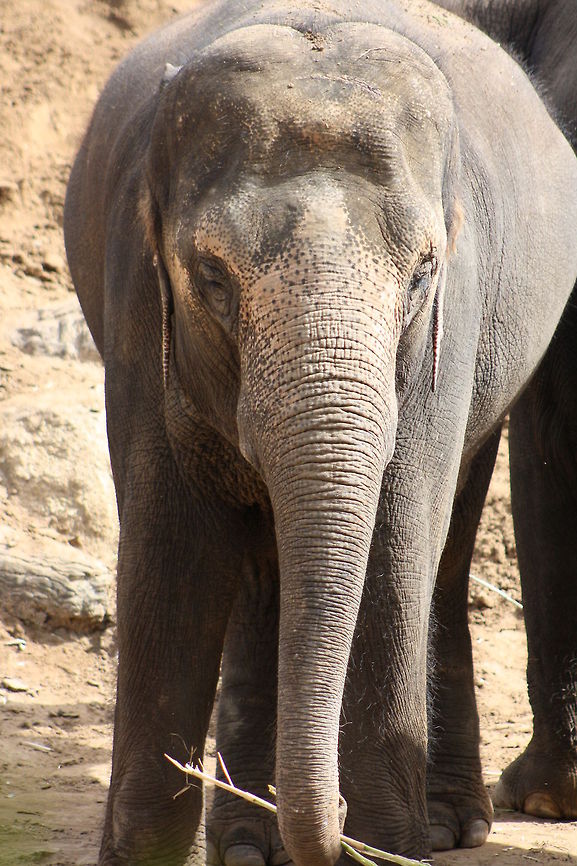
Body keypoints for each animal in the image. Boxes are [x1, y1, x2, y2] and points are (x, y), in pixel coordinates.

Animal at [63, 1, 577, 864]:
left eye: (421, 273)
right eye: (211, 277)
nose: (328, 823)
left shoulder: (448, 331)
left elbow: (395, 545)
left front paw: (384, 844)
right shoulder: (137, 308)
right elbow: (170, 557)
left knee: (443, 546)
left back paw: (445, 824)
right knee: (259, 568)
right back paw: (246, 841)